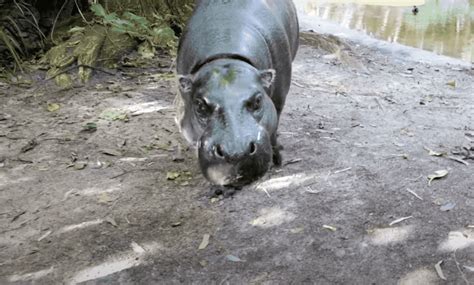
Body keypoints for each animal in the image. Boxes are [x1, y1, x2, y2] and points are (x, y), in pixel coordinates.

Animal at [176, 0, 298, 185]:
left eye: (258, 100)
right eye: (199, 106)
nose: (237, 153)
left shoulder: (278, 101)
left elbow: (274, 129)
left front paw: (278, 159)